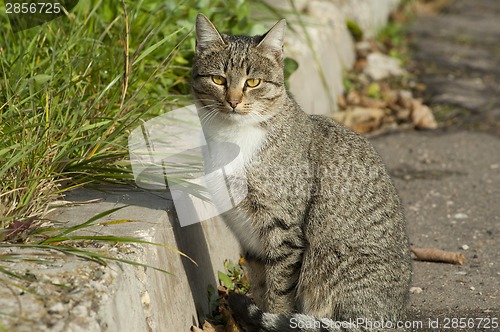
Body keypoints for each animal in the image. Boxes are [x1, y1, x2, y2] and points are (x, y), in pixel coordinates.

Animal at [189, 13, 412, 332]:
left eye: (253, 82)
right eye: (218, 79)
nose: (232, 101)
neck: (232, 138)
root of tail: (391, 318)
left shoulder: (283, 230)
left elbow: (279, 291)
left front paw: (274, 318)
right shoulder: (248, 235)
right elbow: (261, 284)